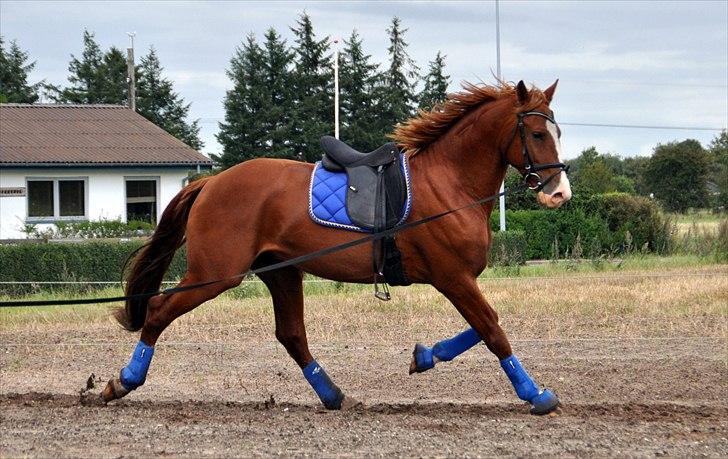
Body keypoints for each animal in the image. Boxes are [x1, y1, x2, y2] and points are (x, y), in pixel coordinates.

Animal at [102, 80, 572, 416]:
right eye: (536, 133)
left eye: (558, 131)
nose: (559, 193)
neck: (449, 183)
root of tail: (212, 181)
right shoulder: (452, 277)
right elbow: (492, 329)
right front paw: (536, 394)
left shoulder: (457, 279)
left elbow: (483, 325)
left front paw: (424, 356)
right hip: (216, 274)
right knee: (159, 310)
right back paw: (122, 381)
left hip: (280, 271)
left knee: (291, 334)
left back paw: (333, 395)